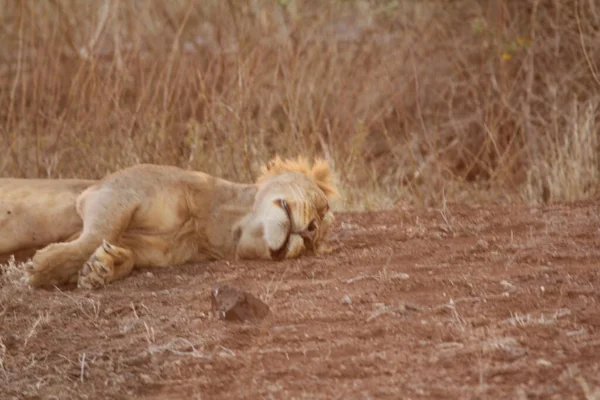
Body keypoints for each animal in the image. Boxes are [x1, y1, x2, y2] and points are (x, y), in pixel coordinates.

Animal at [0, 155, 338, 290]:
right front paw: (44, 266)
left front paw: (103, 267)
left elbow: (120, 252)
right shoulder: (112, 192)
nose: (310, 233)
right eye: (321, 209)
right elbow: (98, 233)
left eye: (315, 247)